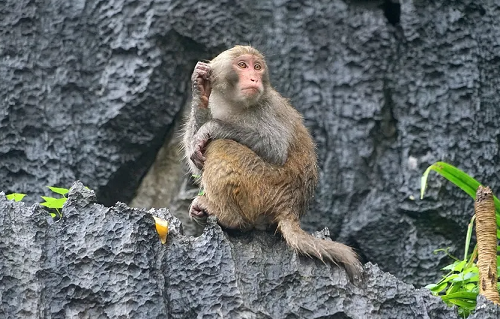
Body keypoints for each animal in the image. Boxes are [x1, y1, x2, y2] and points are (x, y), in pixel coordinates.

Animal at [182, 45, 362, 280]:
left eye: (257, 67)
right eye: (243, 65)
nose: (254, 78)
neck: (235, 104)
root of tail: (289, 206)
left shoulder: (267, 108)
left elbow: (274, 149)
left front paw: (211, 127)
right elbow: (197, 161)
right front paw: (200, 88)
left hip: (265, 186)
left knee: (222, 146)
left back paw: (229, 217)